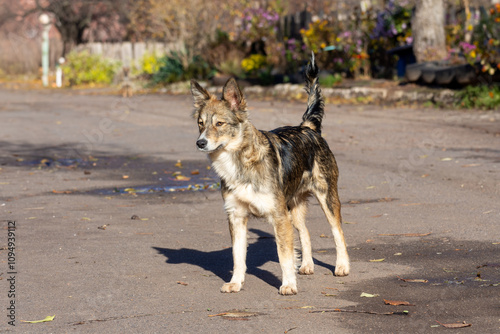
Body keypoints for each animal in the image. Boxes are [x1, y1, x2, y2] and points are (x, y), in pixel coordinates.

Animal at [189, 54, 350, 294]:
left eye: (219, 123)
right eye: (200, 124)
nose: (200, 143)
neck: (239, 162)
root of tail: (307, 127)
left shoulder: (278, 216)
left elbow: (284, 255)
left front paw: (288, 284)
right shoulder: (236, 216)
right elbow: (238, 256)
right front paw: (236, 283)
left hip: (327, 198)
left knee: (337, 231)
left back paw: (342, 266)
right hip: (293, 207)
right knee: (305, 232)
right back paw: (307, 265)